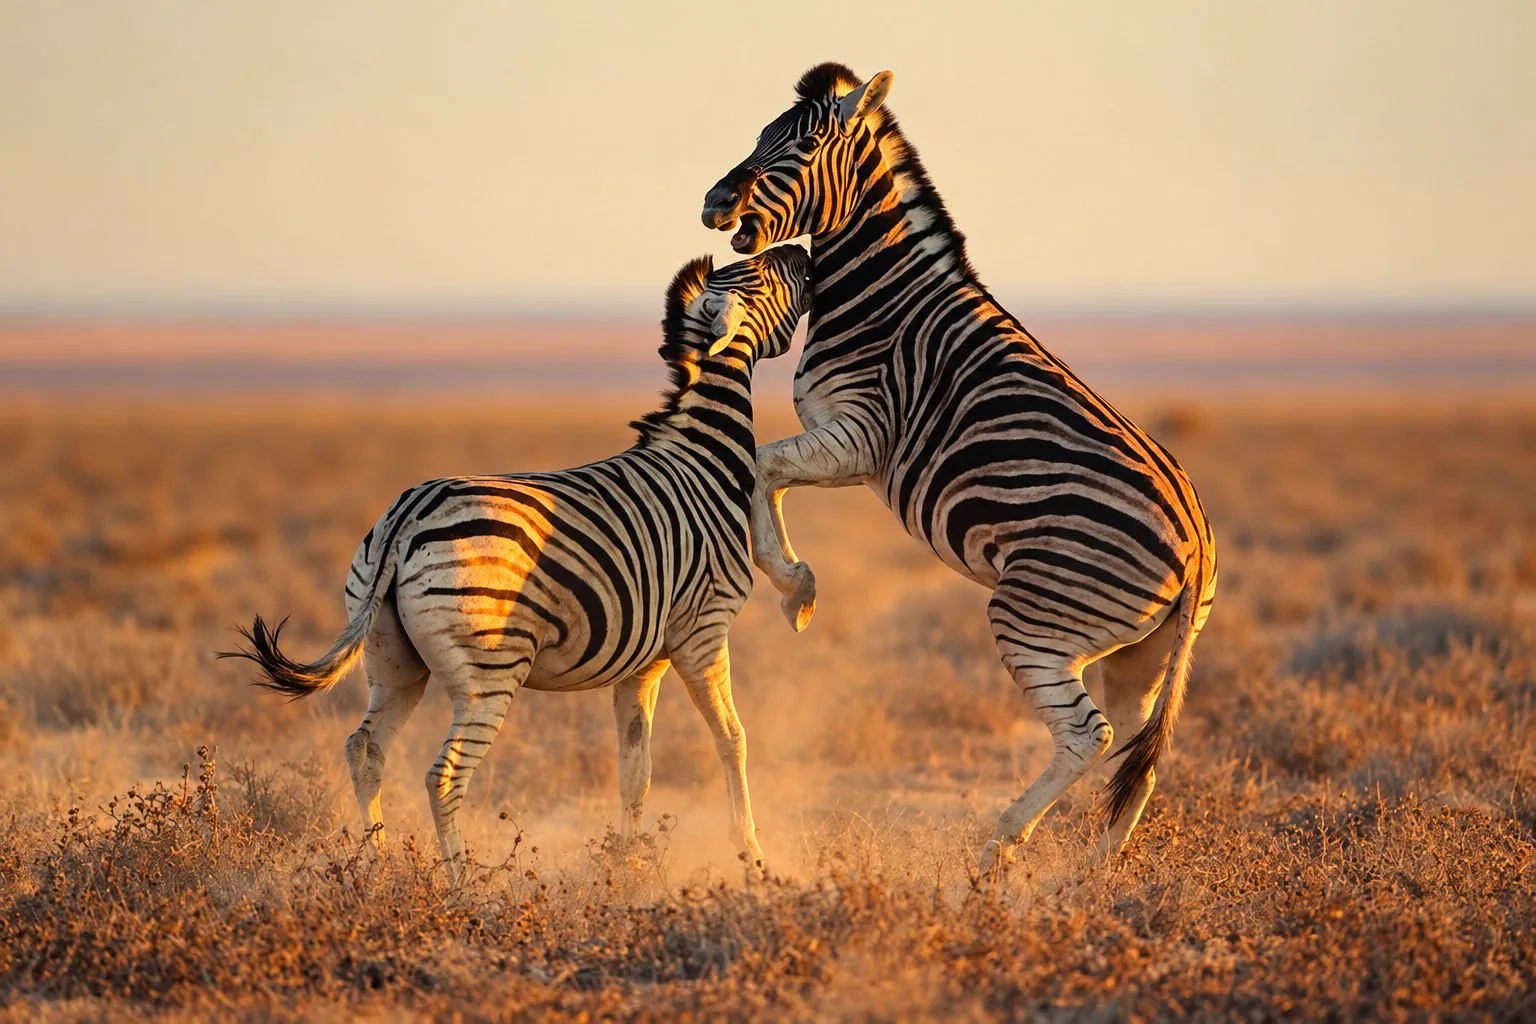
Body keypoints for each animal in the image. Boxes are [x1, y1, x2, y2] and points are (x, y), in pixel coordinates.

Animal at [222, 245, 812, 884]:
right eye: (761, 276)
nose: (802, 253)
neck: (703, 458)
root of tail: (406, 517)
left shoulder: (643, 662)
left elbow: (634, 768)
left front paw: (627, 866)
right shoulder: (704, 632)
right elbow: (733, 738)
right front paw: (752, 856)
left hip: (392, 660)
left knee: (365, 750)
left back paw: (374, 866)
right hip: (490, 671)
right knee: (443, 777)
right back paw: (462, 888)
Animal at [700, 63, 1217, 878]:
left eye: (802, 145)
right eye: (759, 136)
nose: (715, 203)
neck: (882, 298)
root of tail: (1197, 544)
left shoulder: (862, 436)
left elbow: (761, 464)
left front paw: (794, 587)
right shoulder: (848, 444)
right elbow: (768, 470)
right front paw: (796, 585)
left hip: (1034, 613)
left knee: (1088, 737)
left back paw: (997, 847)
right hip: (1141, 654)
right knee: (1137, 756)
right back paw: (1088, 878)